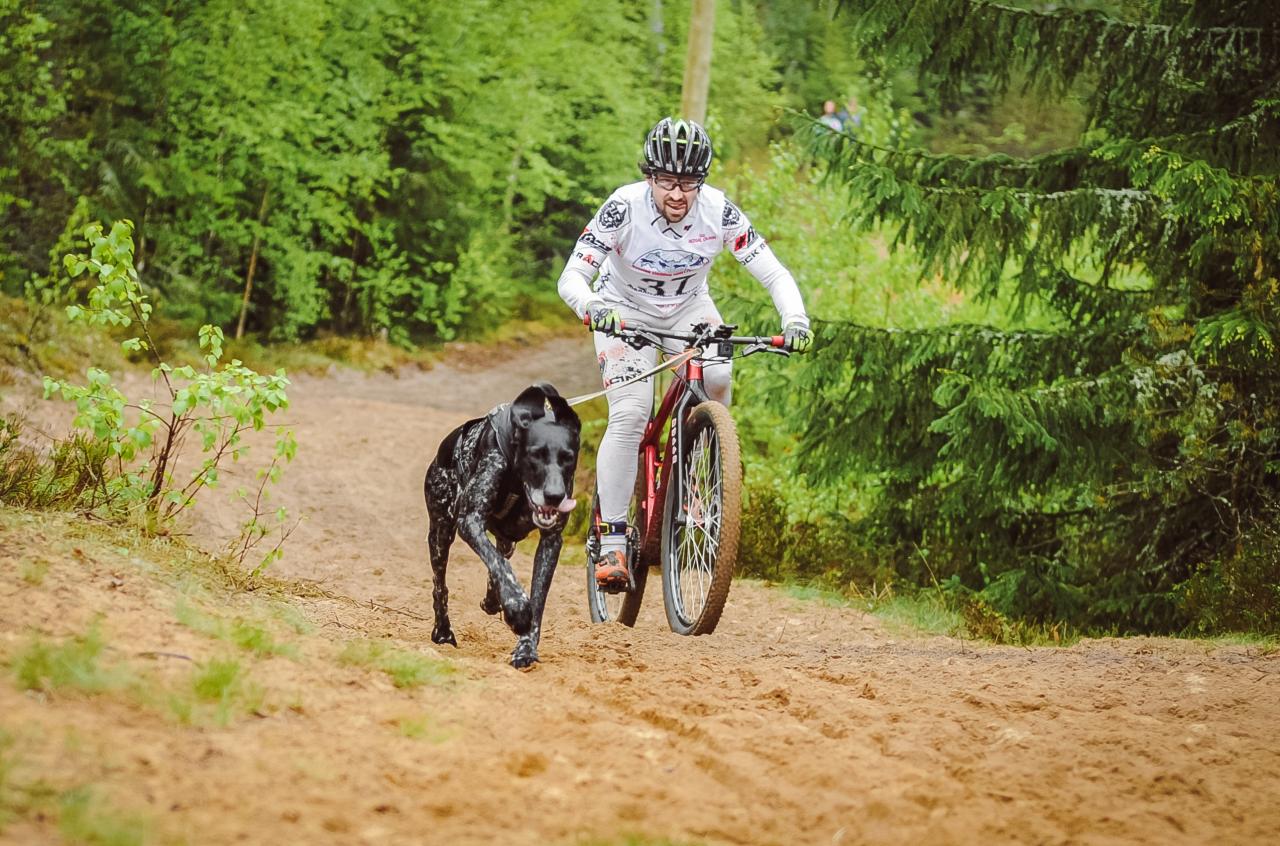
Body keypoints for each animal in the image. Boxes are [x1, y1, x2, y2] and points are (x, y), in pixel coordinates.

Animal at [422, 381, 583, 665]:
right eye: (535, 455)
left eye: (568, 457)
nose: (554, 495)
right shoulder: (470, 520)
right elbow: (499, 566)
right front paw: (516, 607)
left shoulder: (551, 541)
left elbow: (537, 597)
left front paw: (526, 647)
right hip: (441, 534)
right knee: (440, 584)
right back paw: (443, 631)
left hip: (507, 540)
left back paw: (492, 600)